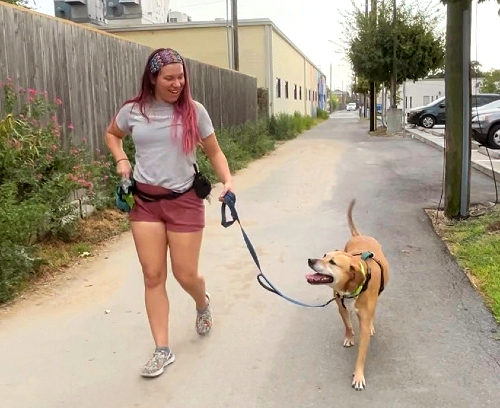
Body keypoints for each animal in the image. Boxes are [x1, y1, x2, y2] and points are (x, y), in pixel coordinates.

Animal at [304, 199, 390, 390]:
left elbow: (361, 352)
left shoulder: (363, 320)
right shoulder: (341, 306)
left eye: (332, 262)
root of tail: (360, 235)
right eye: (324, 255)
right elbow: (348, 325)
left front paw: (358, 375)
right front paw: (349, 337)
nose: (310, 260)